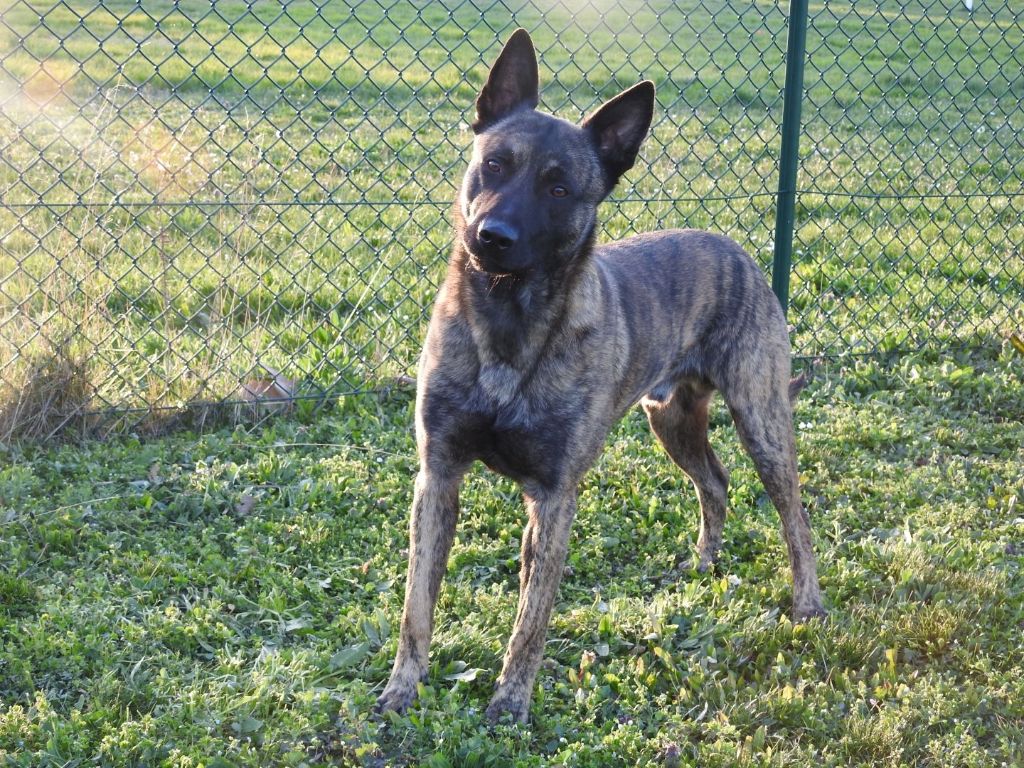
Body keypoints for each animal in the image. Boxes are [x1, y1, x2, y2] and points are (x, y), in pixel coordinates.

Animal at [376, 28, 825, 724]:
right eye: (495, 164)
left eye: (560, 189)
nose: (491, 236)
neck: (509, 319)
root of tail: (738, 250)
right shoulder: (439, 476)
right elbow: (416, 604)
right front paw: (404, 685)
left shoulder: (554, 496)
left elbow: (531, 619)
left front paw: (510, 701)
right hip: (670, 419)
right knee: (715, 482)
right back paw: (703, 565)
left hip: (762, 420)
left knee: (793, 515)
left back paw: (807, 601)